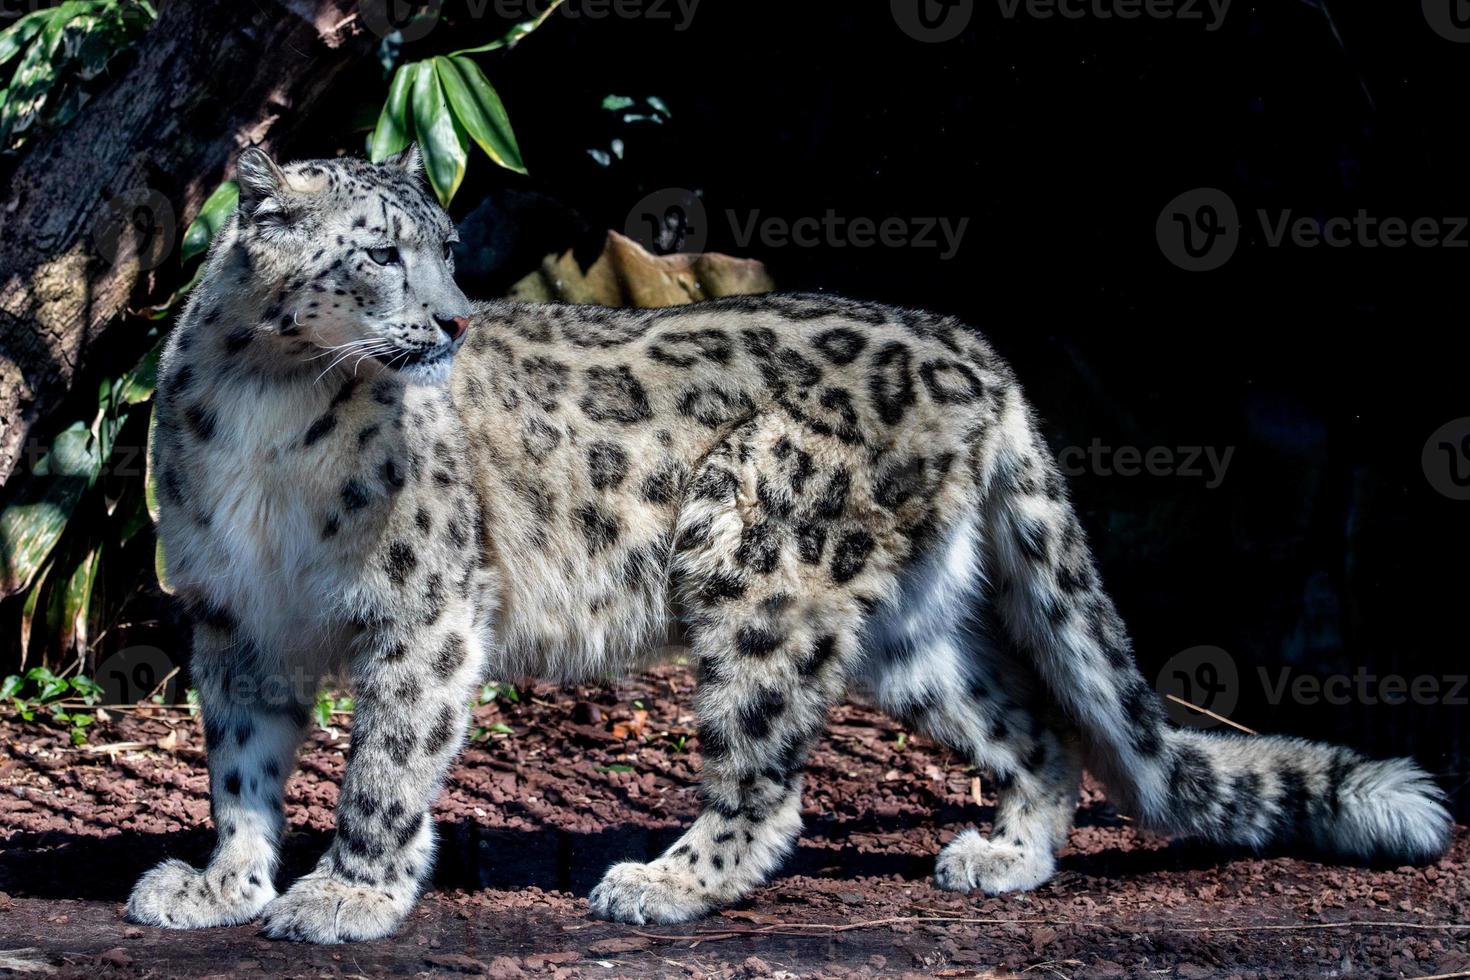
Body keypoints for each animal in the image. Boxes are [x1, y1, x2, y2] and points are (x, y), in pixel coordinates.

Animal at [123, 151, 1446, 940]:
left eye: (445, 246)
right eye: (379, 250)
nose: (450, 319)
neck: (267, 403)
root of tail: (978, 349)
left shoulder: (425, 606)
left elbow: (386, 765)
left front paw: (345, 892)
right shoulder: (232, 617)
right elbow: (240, 764)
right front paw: (224, 880)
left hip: (760, 556)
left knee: (767, 777)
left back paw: (663, 879)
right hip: (906, 625)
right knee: (1032, 721)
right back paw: (1005, 853)